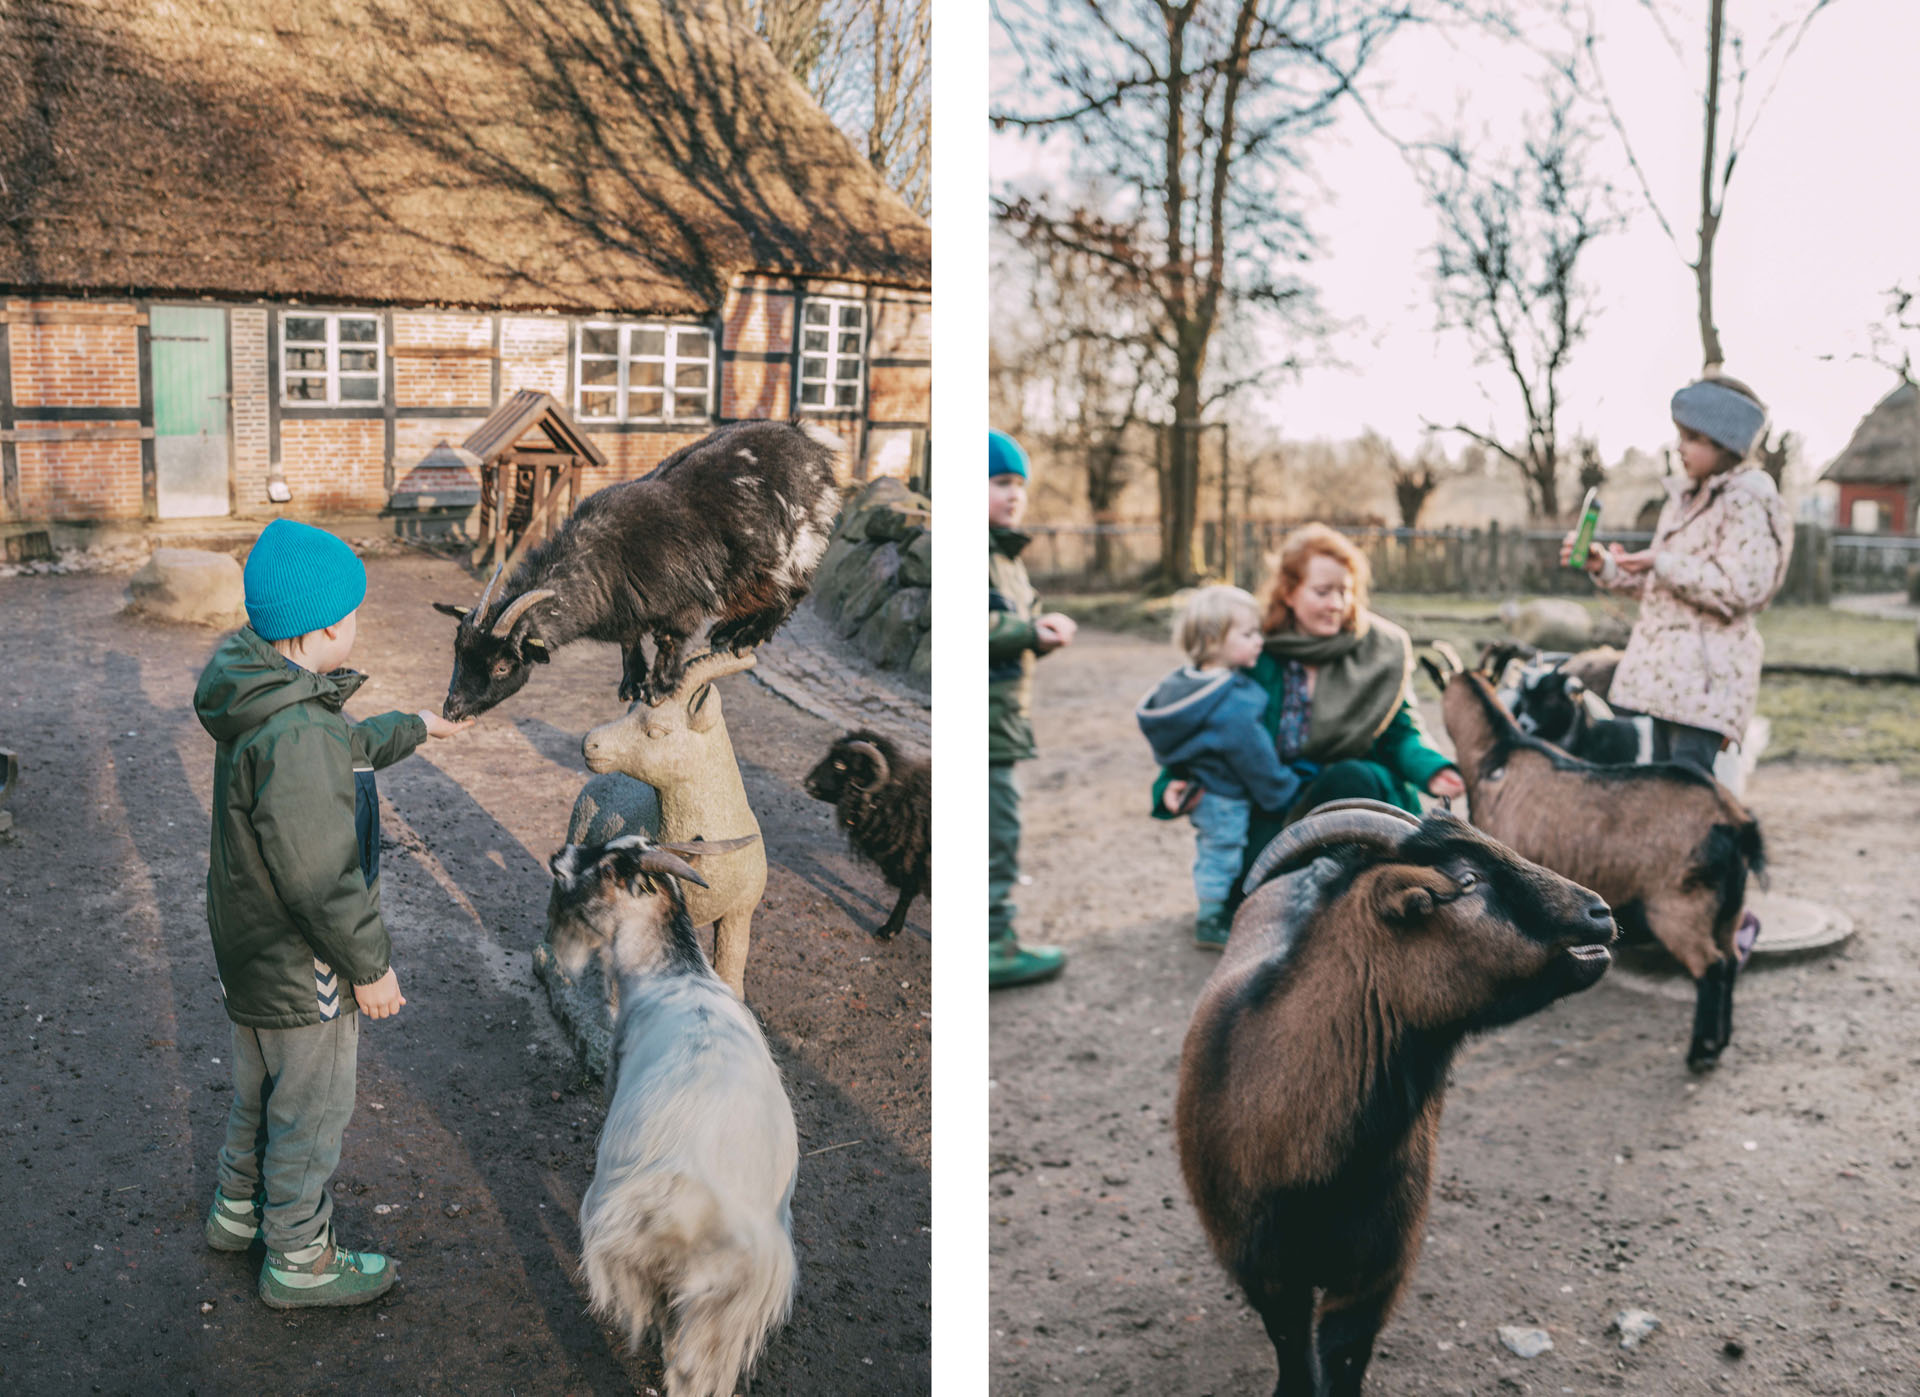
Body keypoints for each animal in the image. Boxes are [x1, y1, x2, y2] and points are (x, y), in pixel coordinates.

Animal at [802, 733, 929, 940]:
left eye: (839, 764)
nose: (808, 784)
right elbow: (907, 893)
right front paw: (891, 929)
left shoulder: (915, 863)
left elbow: (906, 894)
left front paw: (888, 931)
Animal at [1175, 798, 1612, 1397]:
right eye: (1467, 881)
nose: (1600, 911)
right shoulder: (1263, 1269)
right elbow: (1293, 1349)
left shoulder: (1378, 1272)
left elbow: (1344, 1354)